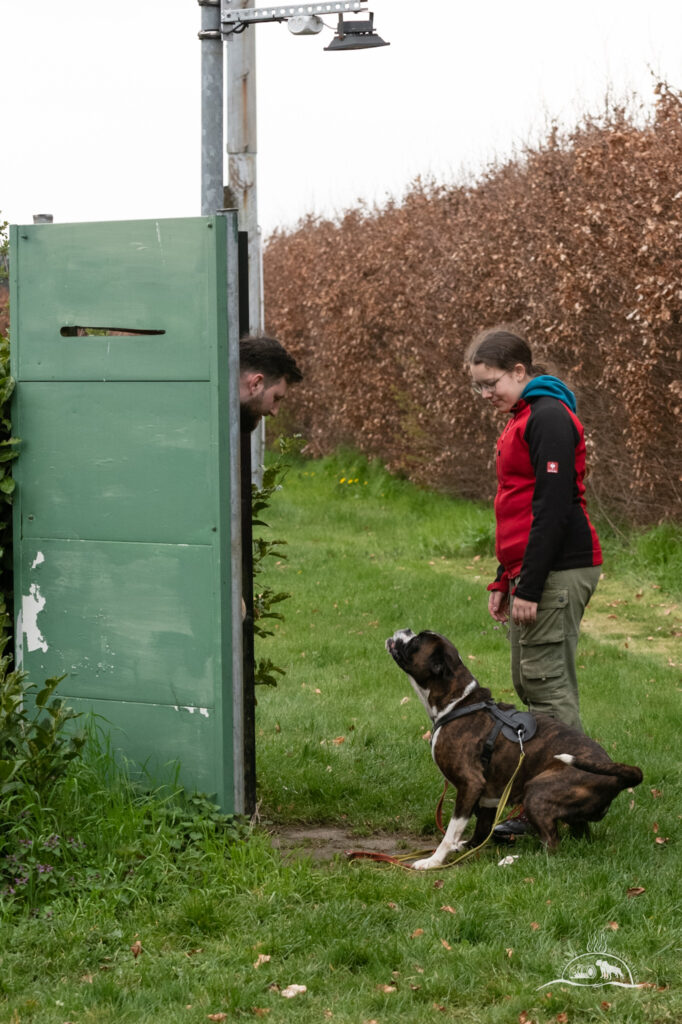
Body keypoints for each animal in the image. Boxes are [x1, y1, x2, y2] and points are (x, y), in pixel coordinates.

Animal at [385, 626, 638, 868]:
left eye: (417, 641)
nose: (405, 630)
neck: (458, 702)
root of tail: (616, 775)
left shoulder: (470, 784)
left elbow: (451, 832)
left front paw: (434, 860)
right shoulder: (486, 794)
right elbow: (482, 828)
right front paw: (467, 847)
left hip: (537, 792)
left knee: (552, 848)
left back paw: (513, 860)